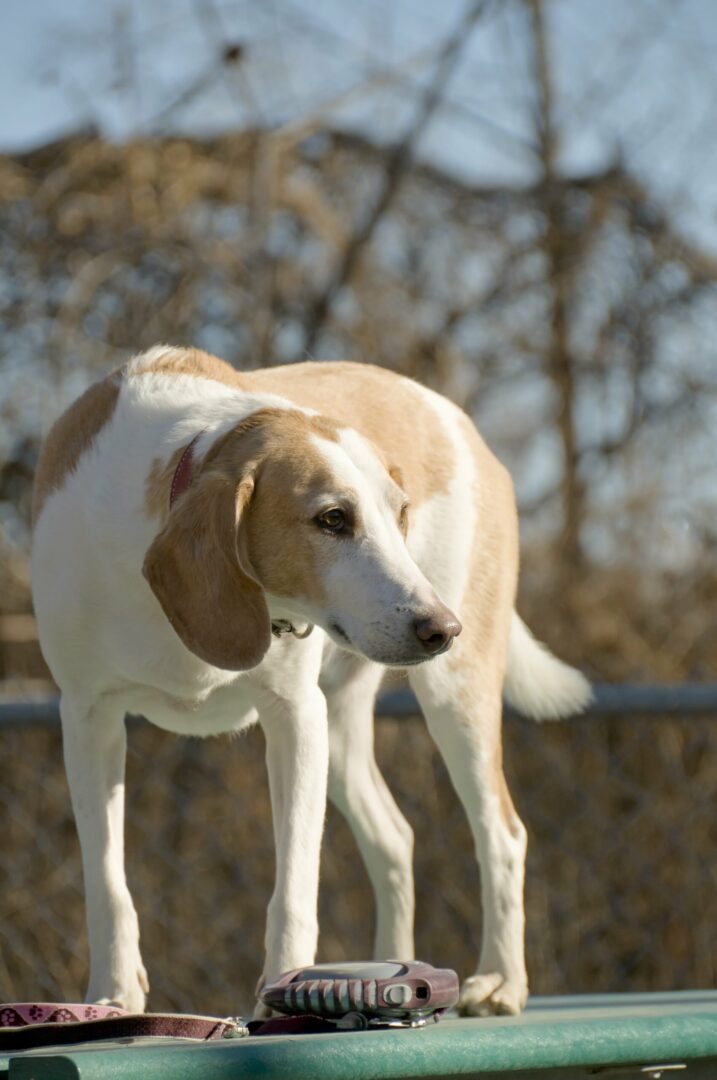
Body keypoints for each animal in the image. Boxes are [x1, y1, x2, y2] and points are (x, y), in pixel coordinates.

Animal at [30, 347, 591, 1019]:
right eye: (333, 519)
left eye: (400, 514)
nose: (443, 628)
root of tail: (459, 422)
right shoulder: (88, 719)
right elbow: (107, 881)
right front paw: (112, 996)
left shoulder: (295, 717)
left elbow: (294, 884)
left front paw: (282, 993)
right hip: (343, 732)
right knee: (394, 839)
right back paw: (399, 969)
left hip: (453, 699)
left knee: (502, 834)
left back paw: (502, 981)